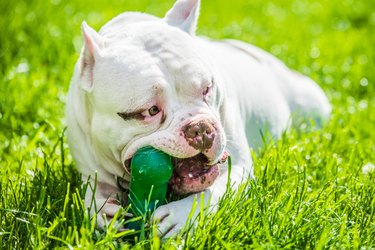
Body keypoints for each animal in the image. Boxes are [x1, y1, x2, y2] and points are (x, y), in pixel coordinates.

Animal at [66, 0, 330, 237]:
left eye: (207, 88)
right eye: (150, 111)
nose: (200, 128)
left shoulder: (240, 168)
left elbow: (218, 189)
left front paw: (182, 215)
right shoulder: (90, 171)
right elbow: (93, 193)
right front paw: (101, 212)